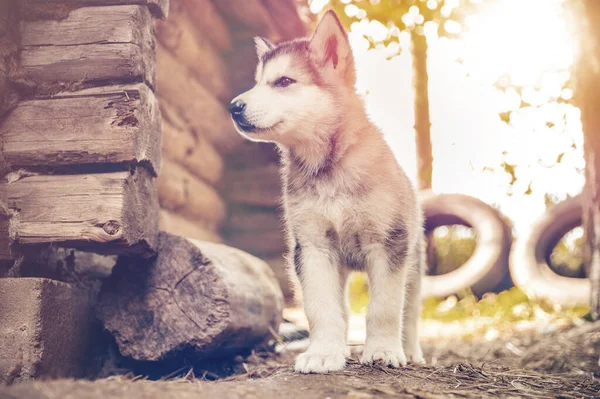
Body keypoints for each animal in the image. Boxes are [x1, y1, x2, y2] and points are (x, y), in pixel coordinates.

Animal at [227, 10, 424, 376]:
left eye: (284, 82)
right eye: (258, 82)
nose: (233, 106)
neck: (329, 169)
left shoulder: (387, 245)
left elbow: (386, 307)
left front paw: (383, 350)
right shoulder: (313, 247)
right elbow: (322, 307)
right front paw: (323, 353)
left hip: (413, 260)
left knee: (411, 310)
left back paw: (411, 351)